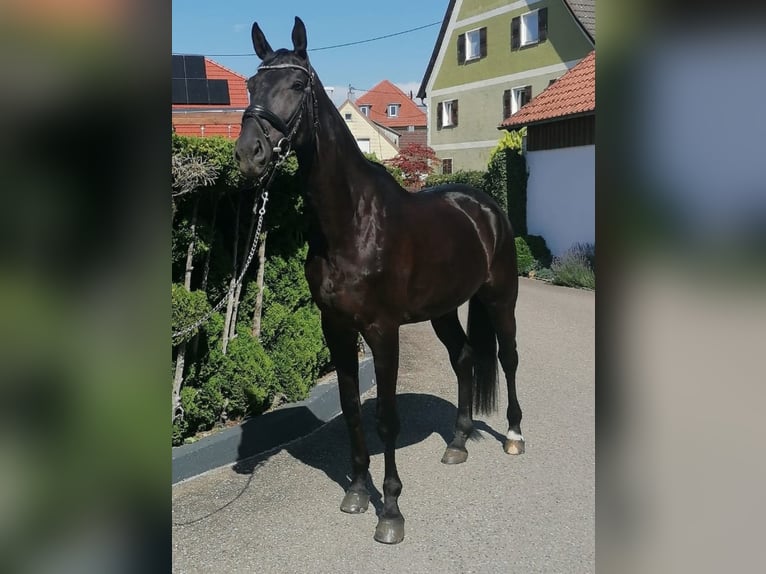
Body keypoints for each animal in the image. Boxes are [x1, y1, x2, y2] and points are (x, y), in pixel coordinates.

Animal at [234, 17, 523, 545]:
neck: (352, 223)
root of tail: (483, 206)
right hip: (444, 310)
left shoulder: (382, 331)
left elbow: (386, 419)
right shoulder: (336, 328)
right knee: (465, 359)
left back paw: (513, 435)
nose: (250, 154)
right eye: (250, 84)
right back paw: (457, 441)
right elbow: (352, 409)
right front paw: (356, 490)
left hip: (500, 297)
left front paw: (390, 509)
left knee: (508, 357)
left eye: (298, 85)